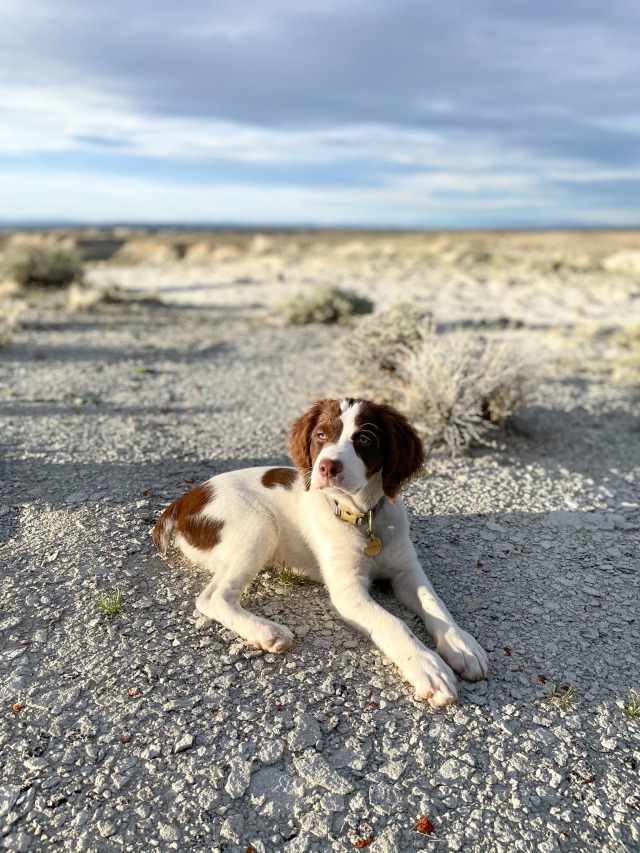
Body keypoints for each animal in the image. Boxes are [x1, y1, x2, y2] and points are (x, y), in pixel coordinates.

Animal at [152, 400, 488, 704]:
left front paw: (462, 644)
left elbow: (435, 604)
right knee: (213, 598)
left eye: (364, 439)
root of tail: (184, 500)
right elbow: (394, 622)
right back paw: (266, 631)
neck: (363, 517)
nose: (327, 467)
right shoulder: (347, 592)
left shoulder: (407, 571)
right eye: (321, 435)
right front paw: (428, 666)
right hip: (259, 525)